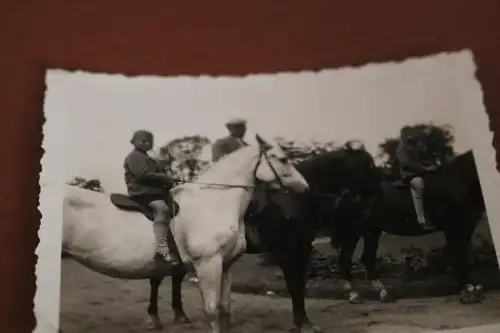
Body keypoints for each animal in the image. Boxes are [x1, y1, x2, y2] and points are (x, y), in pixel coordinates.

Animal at [60, 134, 306, 330]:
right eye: (282, 159)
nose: (305, 187)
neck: (213, 202)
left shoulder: (226, 265)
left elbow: (225, 310)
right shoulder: (208, 264)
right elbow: (211, 311)